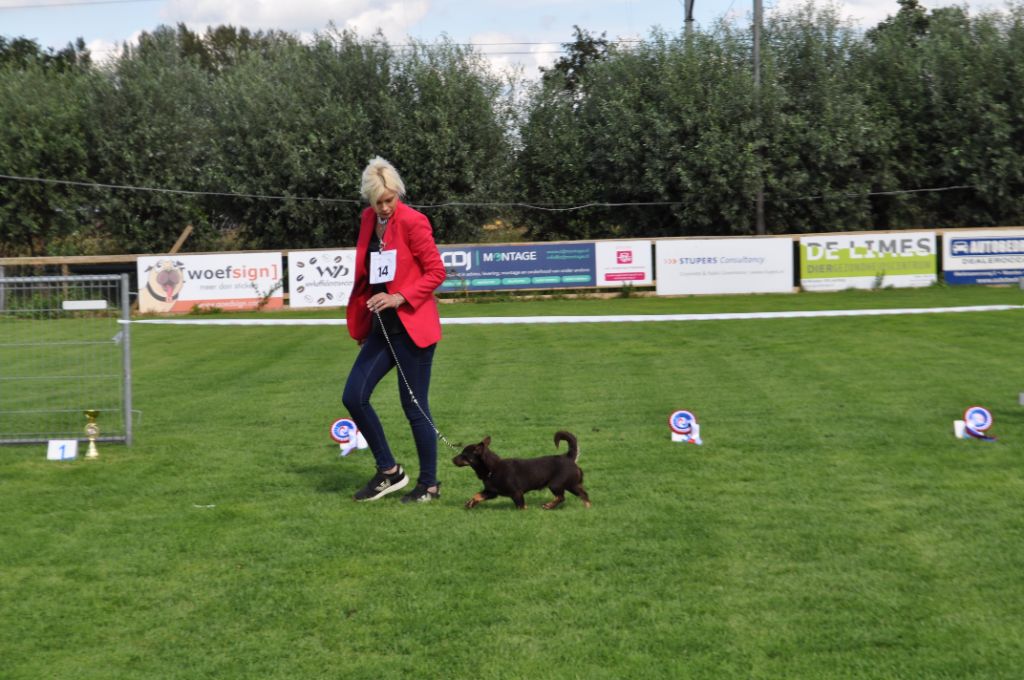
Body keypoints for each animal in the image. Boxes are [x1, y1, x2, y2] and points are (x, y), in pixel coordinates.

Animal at [450, 430, 589, 510]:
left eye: (463, 455)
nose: (452, 459)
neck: (493, 468)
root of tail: (568, 457)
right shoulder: (491, 492)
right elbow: (477, 495)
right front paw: (470, 503)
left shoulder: (516, 494)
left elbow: (521, 507)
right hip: (572, 485)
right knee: (584, 495)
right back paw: (587, 507)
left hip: (556, 484)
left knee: (561, 497)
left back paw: (548, 505)